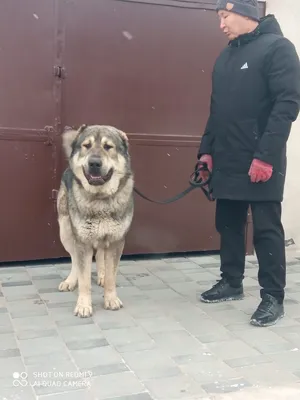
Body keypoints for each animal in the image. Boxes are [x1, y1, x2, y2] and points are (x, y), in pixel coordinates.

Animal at [56, 123, 134, 318]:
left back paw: (102, 275)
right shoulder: (82, 241)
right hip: (66, 232)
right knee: (74, 260)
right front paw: (84, 305)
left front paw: (111, 298)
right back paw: (71, 280)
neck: (101, 199)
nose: (94, 163)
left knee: (100, 255)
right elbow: (84, 278)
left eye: (108, 147)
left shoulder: (116, 241)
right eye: (87, 146)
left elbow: (112, 275)